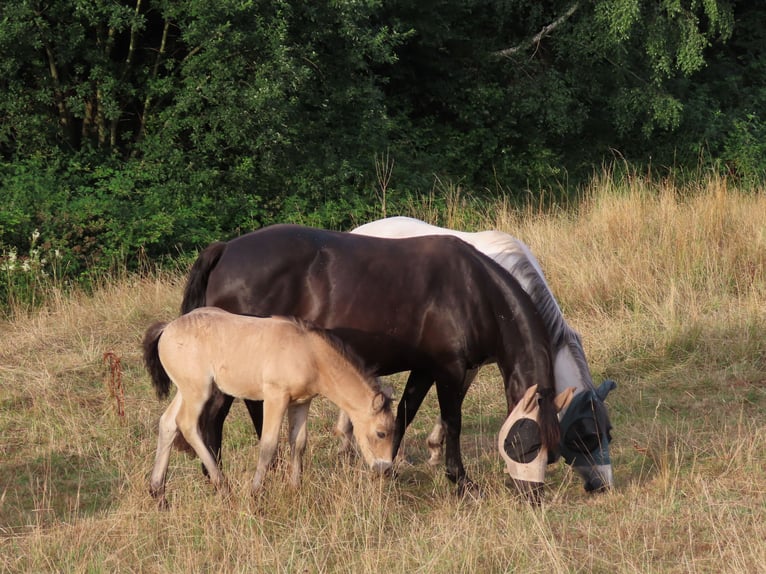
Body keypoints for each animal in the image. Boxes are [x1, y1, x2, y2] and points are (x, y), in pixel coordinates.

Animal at [143, 306, 395, 507]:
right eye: (381, 433)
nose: (385, 470)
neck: (309, 353)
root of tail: (166, 328)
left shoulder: (302, 402)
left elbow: (298, 442)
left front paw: (295, 489)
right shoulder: (275, 397)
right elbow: (268, 445)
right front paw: (255, 494)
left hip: (185, 389)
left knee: (167, 423)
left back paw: (159, 493)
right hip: (199, 391)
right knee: (186, 425)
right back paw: (223, 488)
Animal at [181, 224, 561, 496]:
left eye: (554, 452)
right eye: (528, 444)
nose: (532, 494)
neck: (473, 290)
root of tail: (226, 249)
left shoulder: (425, 368)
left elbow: (405, 414)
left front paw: (387, 467)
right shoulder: (450, 369)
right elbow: (452, 421)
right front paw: (461, 481)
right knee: (219, 414)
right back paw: (220, 477)